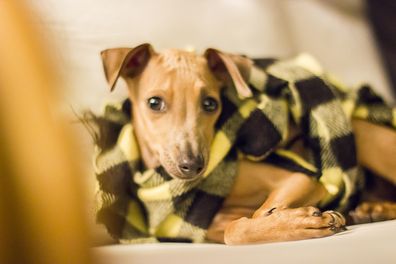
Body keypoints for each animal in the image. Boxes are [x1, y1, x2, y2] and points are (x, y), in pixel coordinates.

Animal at [100, 43, 396, 245]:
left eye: (211, 104)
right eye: (154, 103)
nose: (192, 165)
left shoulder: (304, 178)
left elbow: (260, 213)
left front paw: (296, 221)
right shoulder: (207, 227)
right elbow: (235, 228)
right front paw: (296, 222)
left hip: (365, 135)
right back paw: (371, 209)